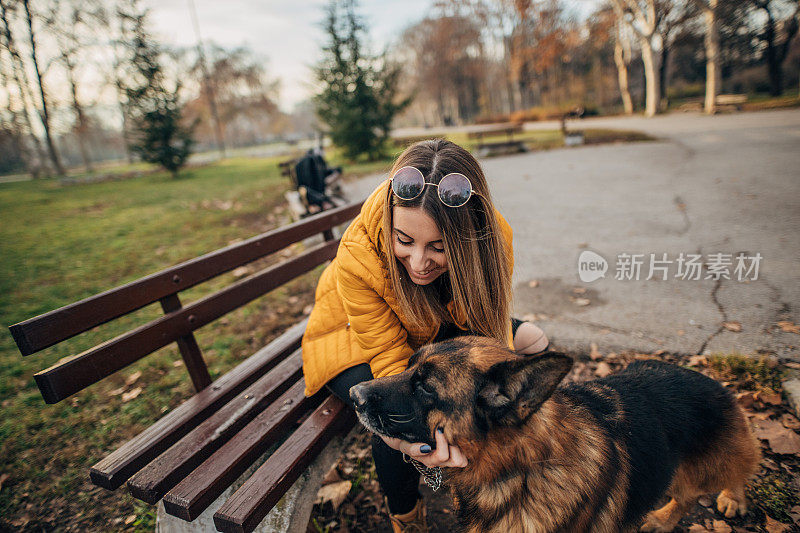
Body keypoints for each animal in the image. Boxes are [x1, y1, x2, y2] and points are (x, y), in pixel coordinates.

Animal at [352, 336, 764, 532]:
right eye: (408, 367)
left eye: (425, 387)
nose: (354, 395)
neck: (519, 469)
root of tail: (715, 383)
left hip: (710, 461)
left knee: (728, 474)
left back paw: (729, 497)